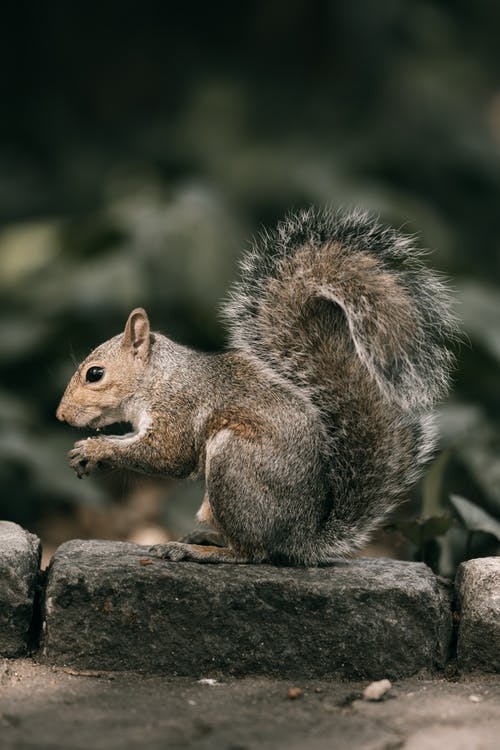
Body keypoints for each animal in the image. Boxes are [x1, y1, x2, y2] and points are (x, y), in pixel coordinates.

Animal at [55, 206, 458, 564]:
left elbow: (168, 456)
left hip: (235, 465)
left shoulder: (179, 409)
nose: (60, 415)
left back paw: (201, 552)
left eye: (95, 374)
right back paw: (205, 537)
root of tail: (301, 538)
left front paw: (96, 449)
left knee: (251, 552)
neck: (159, 377)